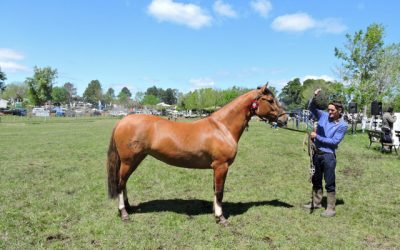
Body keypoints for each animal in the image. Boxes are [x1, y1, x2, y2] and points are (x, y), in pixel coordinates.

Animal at [106, 83, 288, 225]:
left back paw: (128, 207)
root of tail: (122, 121)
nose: (285, 119)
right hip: (129, 161)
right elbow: (220, 191)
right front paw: (221, 218)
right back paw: (124, 213)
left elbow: (215, 189)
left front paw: (215, 212)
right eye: (270, 100)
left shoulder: (217, 168)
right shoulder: (222, 166)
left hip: (133, 161)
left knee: (124, 182)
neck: (222, 127)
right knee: (120, 184)